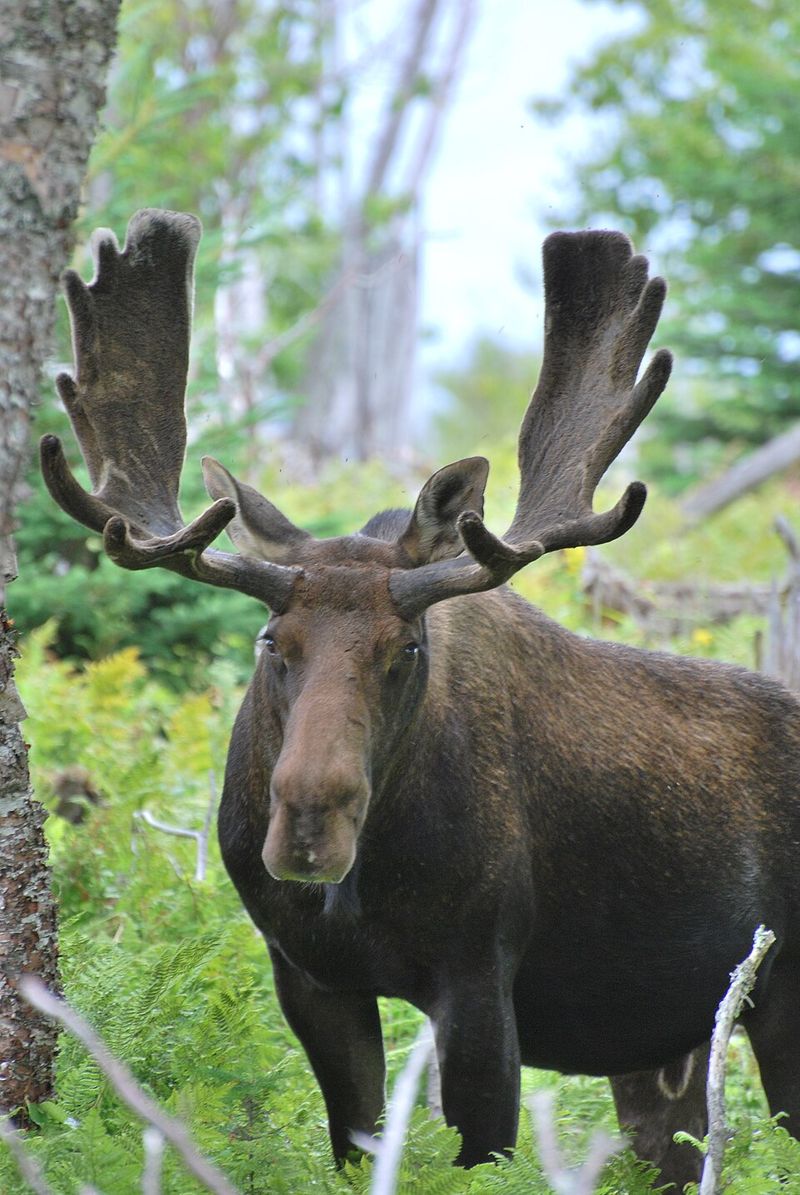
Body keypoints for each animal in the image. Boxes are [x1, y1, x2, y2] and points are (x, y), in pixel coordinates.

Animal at [41, 208, 800, 1190]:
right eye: (271, 642)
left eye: (406, 648)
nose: (310, 821)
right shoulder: (310, 976)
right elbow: (357, 1147)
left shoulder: (478, 975)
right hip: (664, 1047)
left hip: (782, 998)